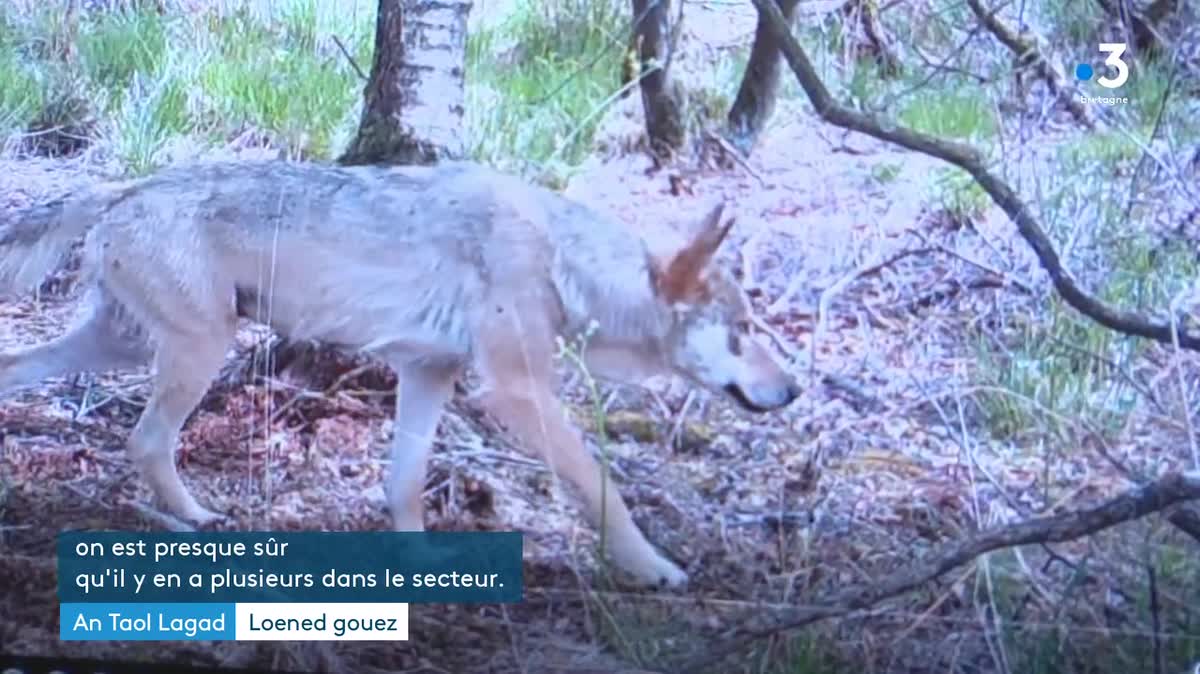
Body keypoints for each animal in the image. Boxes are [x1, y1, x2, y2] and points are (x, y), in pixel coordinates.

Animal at [2, 159, 806, 585]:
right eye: (742, 332)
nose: (794, 390)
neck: (563, 259)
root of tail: (123, 188)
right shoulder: (517, 392)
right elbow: (601, 486)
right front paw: (653, 567)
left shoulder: (429, 374)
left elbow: (405, 483)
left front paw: (419, 563)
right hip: (198, 350)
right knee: (144, 441)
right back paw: (194, 518)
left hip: (127, 348)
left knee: (20, 369)